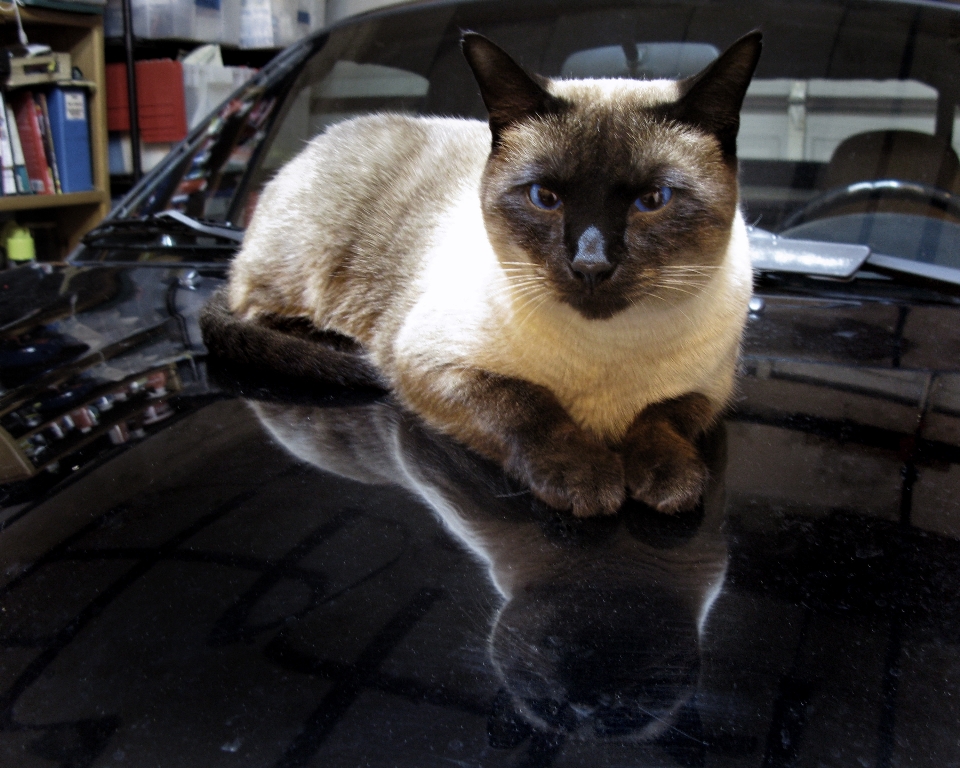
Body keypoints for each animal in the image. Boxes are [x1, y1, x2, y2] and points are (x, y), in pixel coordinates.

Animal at [199, 33, 760, 520]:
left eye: (652, 200)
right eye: (544, 198)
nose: (591, 264)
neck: (605, 354)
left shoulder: (712, 388)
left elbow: (662, 416)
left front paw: (668, 480)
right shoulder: (431, 362)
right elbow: (527, 403)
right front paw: (586, 480)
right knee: (254, 306)